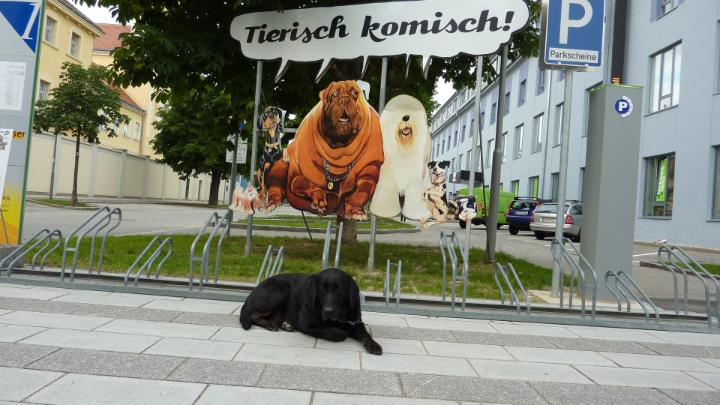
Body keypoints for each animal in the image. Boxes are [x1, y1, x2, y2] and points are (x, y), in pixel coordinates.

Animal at [239, 268, 382, 354]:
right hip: (282, 289)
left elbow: (365, 334)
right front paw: (341, 331)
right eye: (322, 289)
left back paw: (285, 325)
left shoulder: (356, 322)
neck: (340, 317)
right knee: (252, 315)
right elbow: (336, 332)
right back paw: (271, 325)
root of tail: (249, 296)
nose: (328, 311)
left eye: (339, 291)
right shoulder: (306, 324)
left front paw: (373, 345)